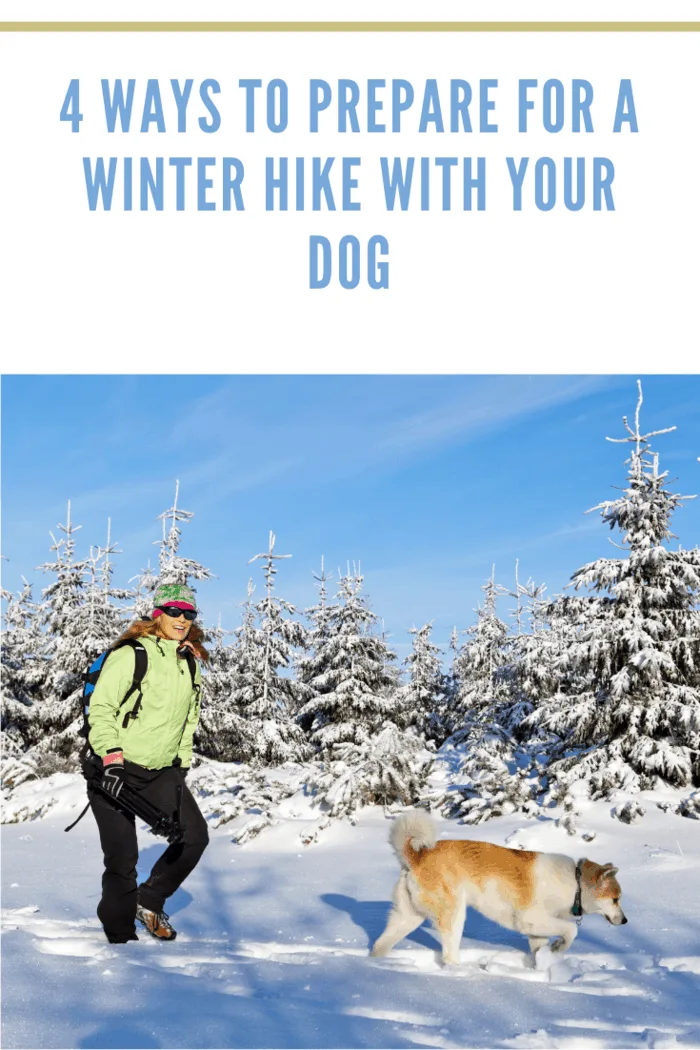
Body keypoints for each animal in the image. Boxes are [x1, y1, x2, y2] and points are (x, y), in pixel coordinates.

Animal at [371, 810, 629, 965]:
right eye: (615, 899)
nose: (625, 921)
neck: (575, 884)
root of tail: (416, 857)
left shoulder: (535, 931)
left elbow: (540, 952)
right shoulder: (530, 919)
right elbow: (571, 930)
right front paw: (559, 947)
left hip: (407, 917)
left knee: (379, 945)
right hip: (453, 915)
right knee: (449, 955)